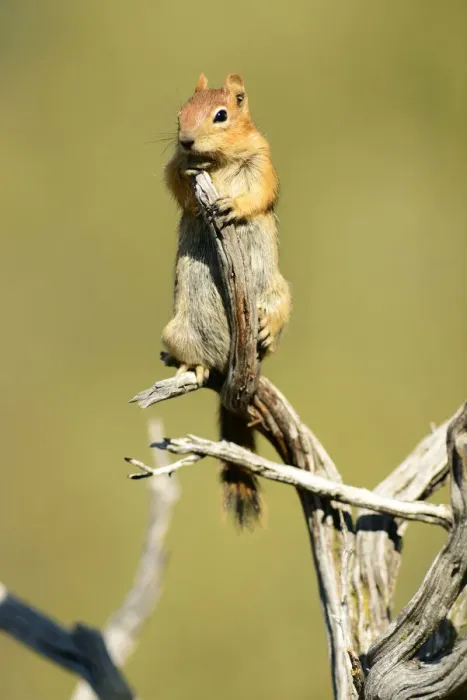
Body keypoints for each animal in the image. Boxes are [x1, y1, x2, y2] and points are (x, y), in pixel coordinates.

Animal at [162, 73, 291, 527]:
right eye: (180, 112)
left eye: (222, 114)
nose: (185, 140)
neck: (217, 163)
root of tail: (228, 365)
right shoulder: (172, 169)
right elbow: (179, 183)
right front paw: (194, 172)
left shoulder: (263, 158)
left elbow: (260, 192)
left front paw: (231, 204)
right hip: (176, 330)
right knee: (193, 358)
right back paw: (196, 367)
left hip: (280, 291)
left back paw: (267, 330)